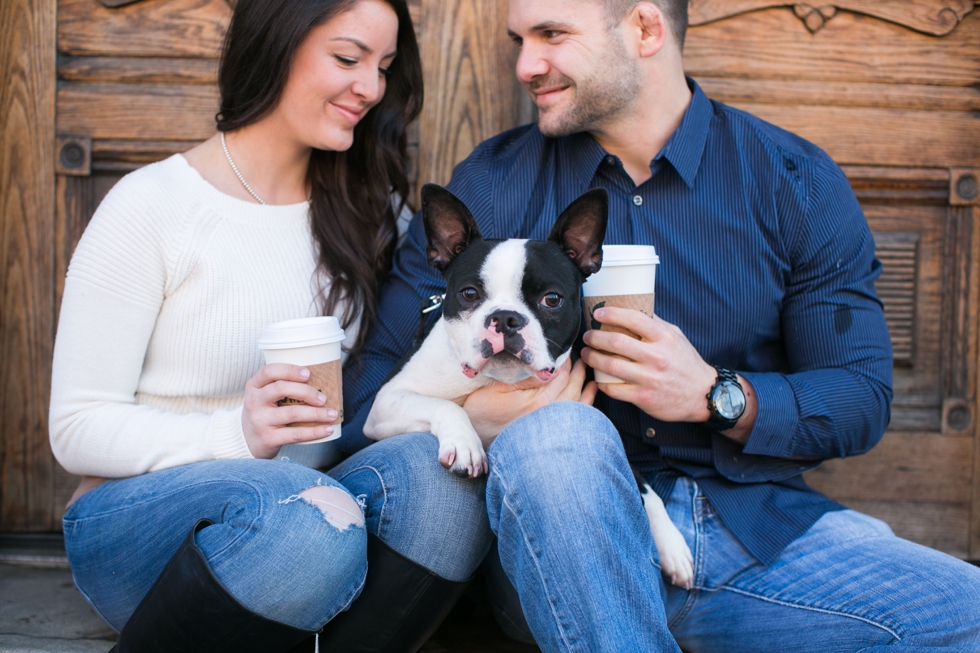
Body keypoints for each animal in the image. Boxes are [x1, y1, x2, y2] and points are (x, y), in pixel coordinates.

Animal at [364, 182, 692, 584]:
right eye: (469, 294)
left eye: (551, 299)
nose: (506, 318)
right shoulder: (384, 403)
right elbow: (444, 405)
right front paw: (465, 444)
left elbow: (643, 482)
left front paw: (672, 544)